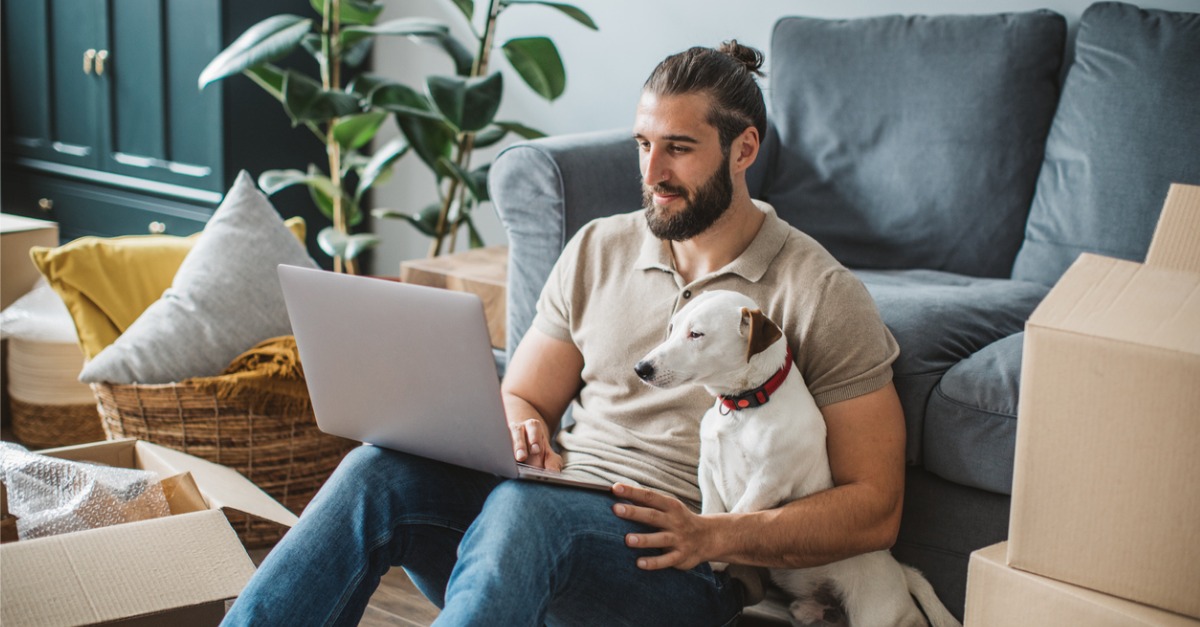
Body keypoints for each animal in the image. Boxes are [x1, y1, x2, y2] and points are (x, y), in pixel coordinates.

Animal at [633, 290, 960, 624]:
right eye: (672, 328)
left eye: (696, 334)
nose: (641, 368)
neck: (745, 405)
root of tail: (901, 574)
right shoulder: (708, 471)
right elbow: (713, 512)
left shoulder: (768, 483)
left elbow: (732, 516)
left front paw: (710, 557)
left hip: (876, 615)